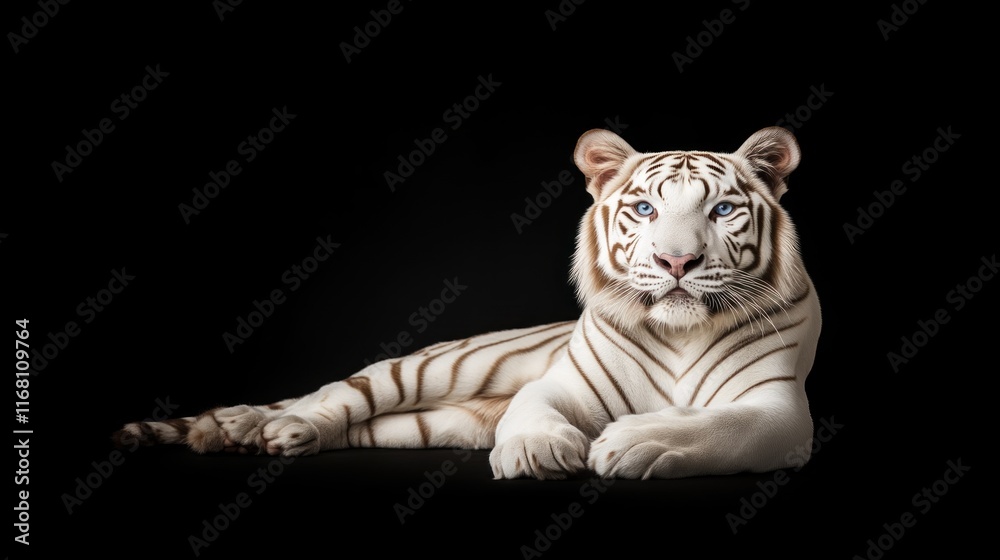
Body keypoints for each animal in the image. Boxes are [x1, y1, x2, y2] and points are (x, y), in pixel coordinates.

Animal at [115, 126, 821, 480]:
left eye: (722, 210)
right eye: (645, 209)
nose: (677, 263)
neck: (678, 333)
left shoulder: (777, 407)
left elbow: (720, 425)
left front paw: (634, 443)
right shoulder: (562, 385)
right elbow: (535, 409)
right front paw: (538, 450)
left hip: (439, 422)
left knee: (365, 425)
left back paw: (240, 433)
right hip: (435, 368)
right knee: (336, 393)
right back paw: (262, 426)